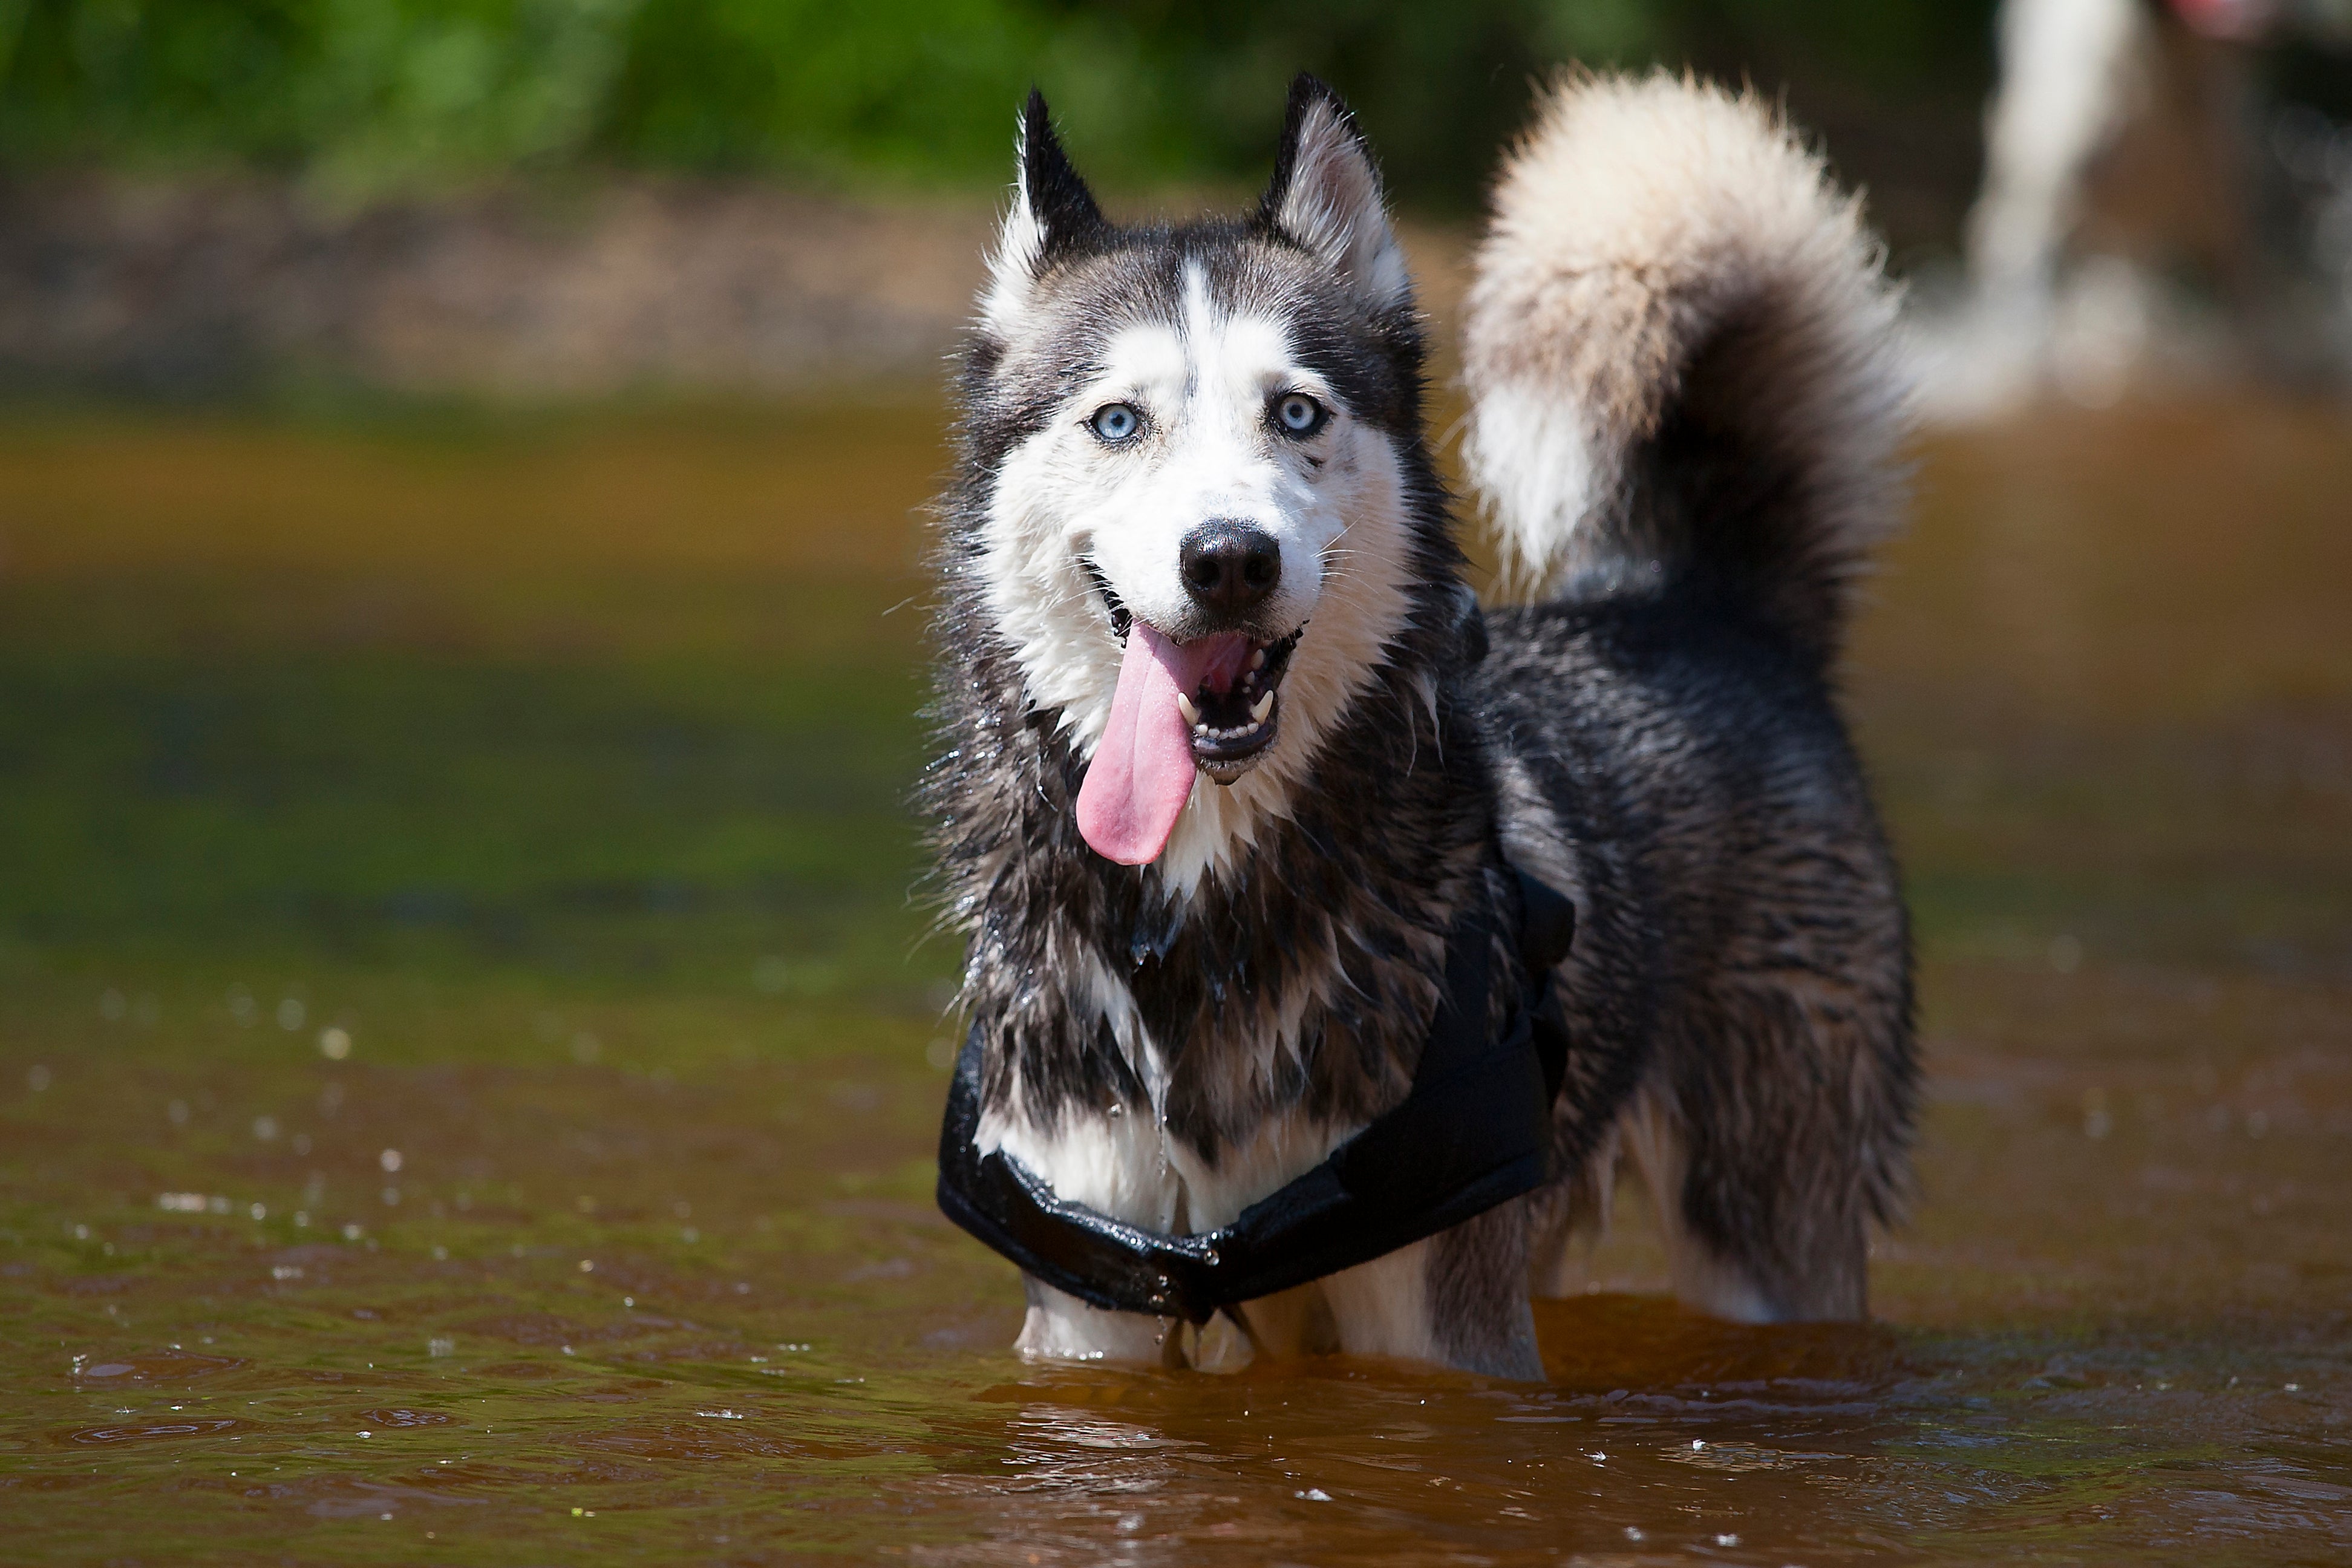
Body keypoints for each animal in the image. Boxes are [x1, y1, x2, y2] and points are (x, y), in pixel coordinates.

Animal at [917, 73, 1910, 1373]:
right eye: (1119, 423)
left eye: (1296, 413)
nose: (1228, 558)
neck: (1204, 921)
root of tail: (1689, 600)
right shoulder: (1089, 1308)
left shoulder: (1444, 1323)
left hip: (1768, 1228)